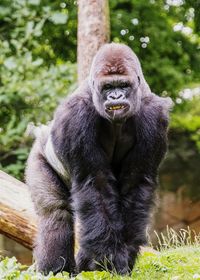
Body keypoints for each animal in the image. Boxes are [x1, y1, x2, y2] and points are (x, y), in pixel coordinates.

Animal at [25, 43, 172, 276]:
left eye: (123, 85)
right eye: (108, 87)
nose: (115, 97)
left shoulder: (154, 117)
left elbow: (136, 184)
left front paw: (122, 257)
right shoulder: (75, 116)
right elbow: (95, 183)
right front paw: (108, 259)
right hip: (38, 156)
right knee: (55, 212)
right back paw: (57, 270)